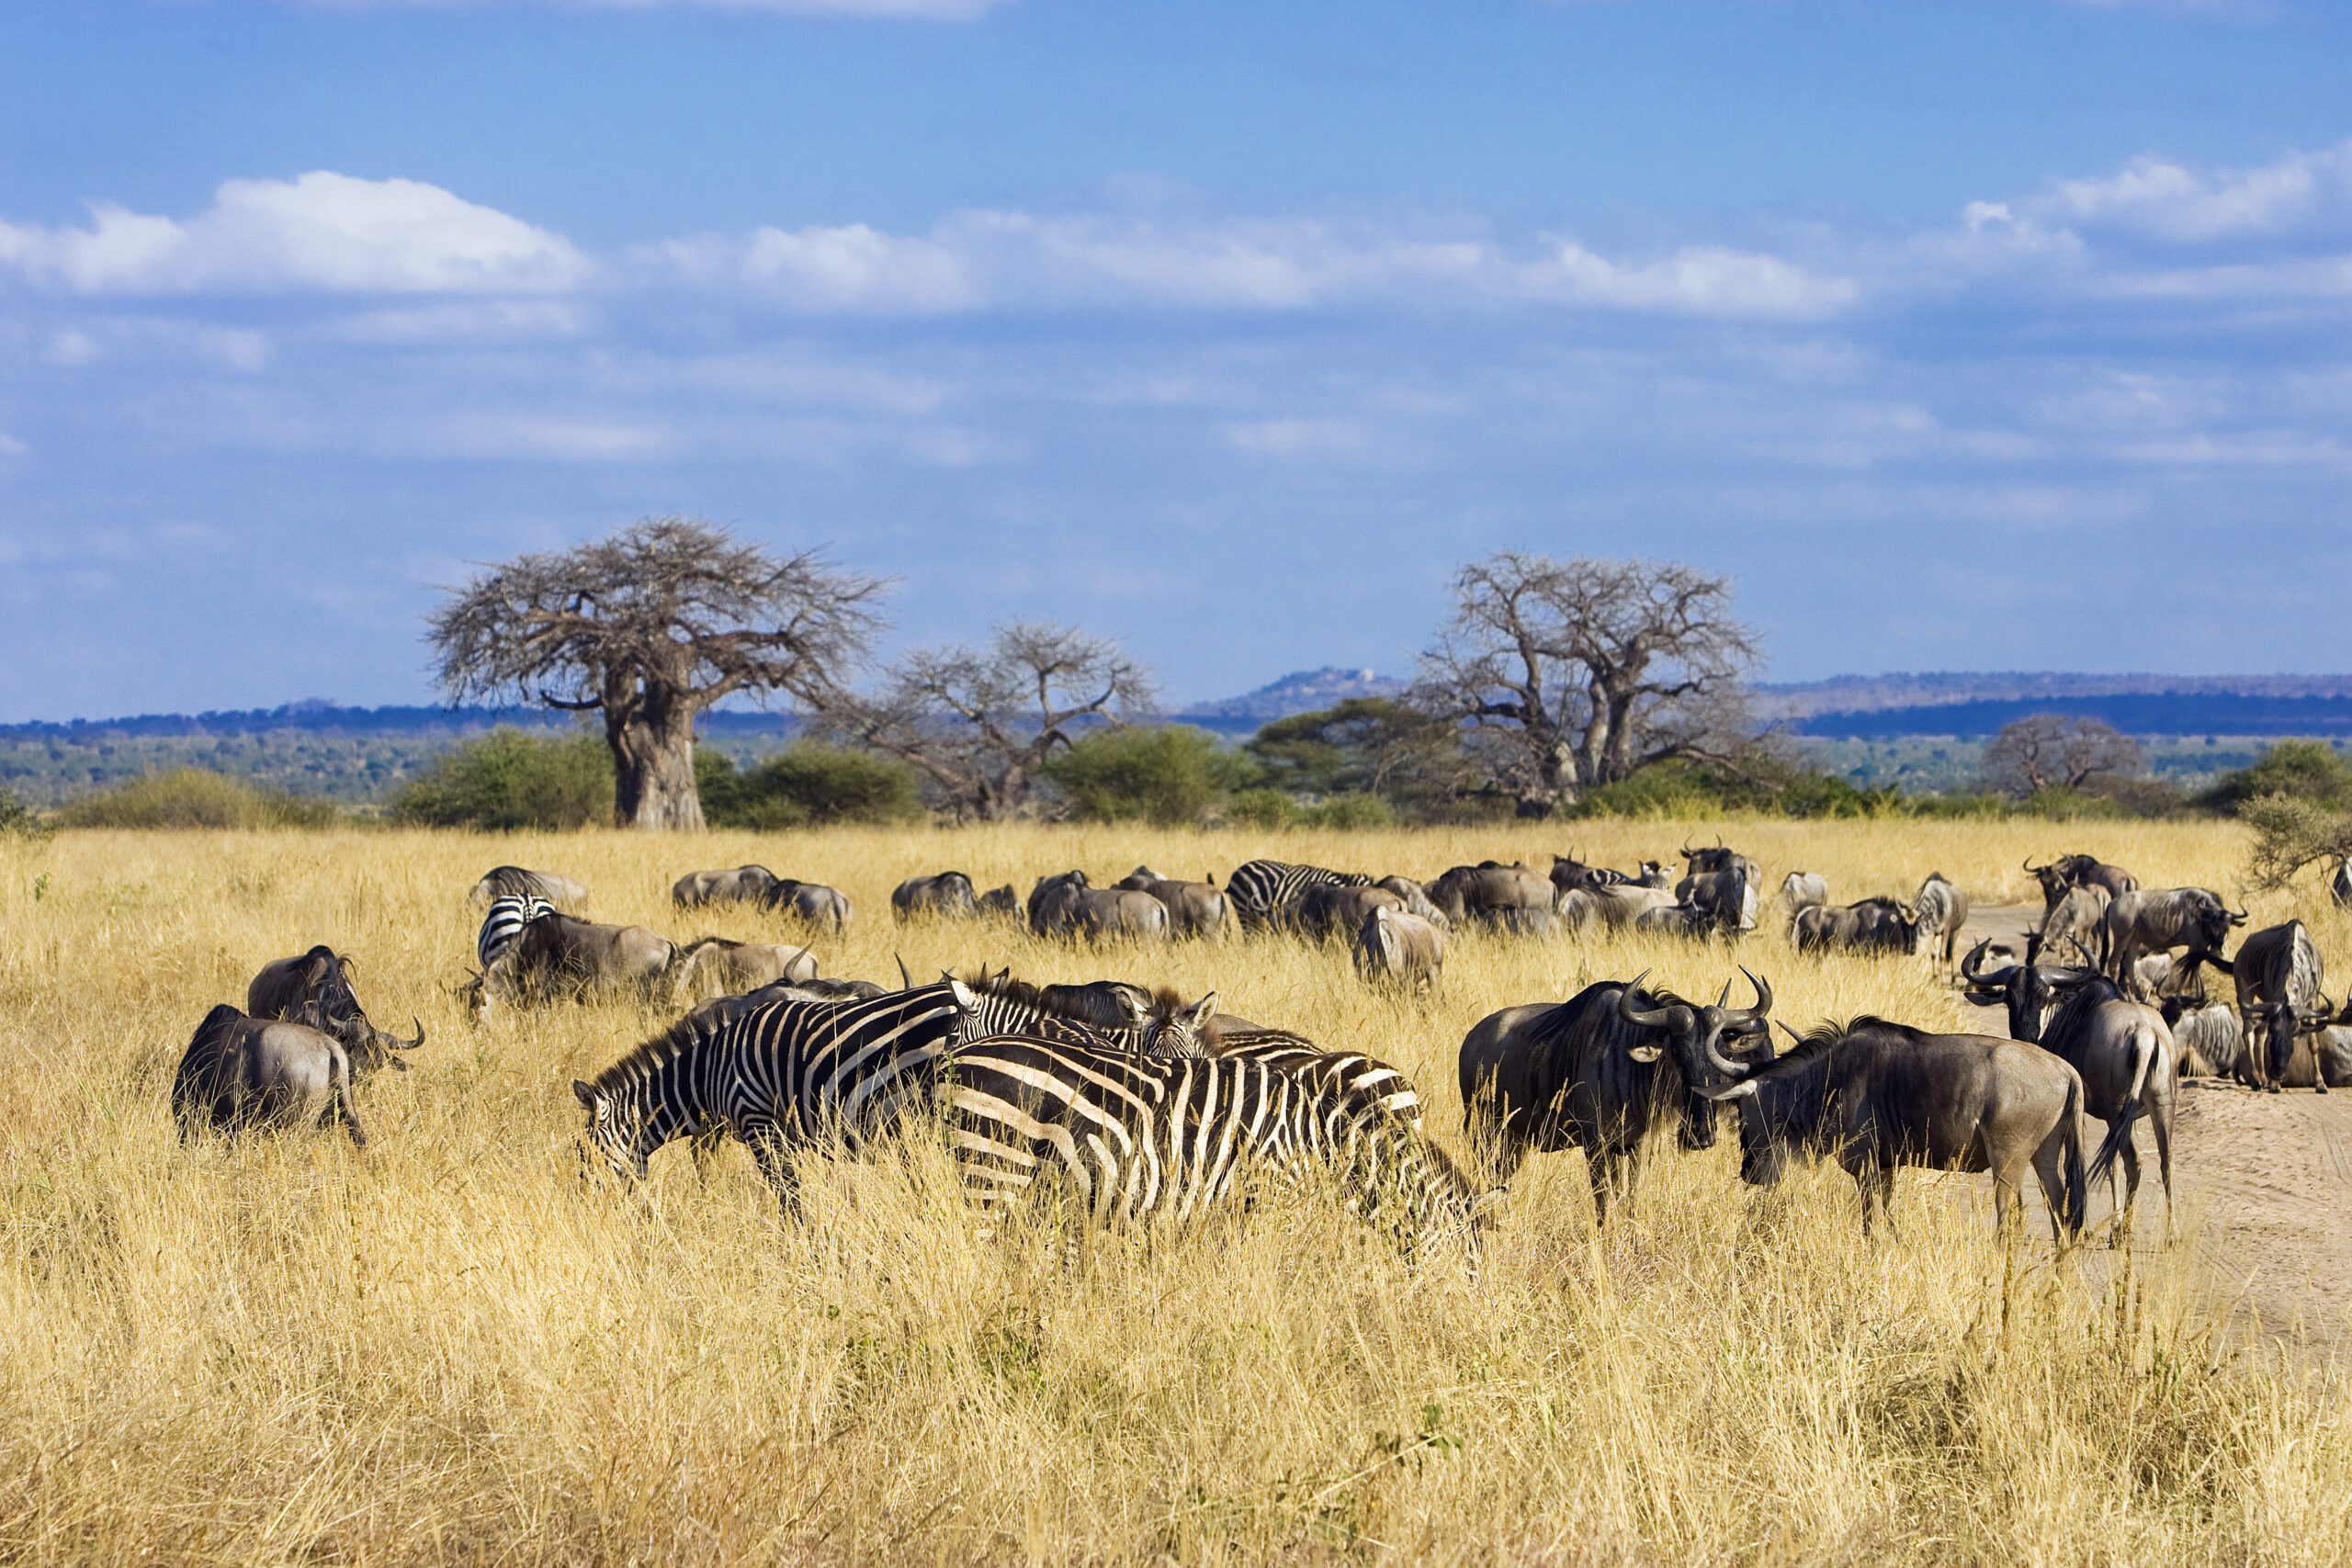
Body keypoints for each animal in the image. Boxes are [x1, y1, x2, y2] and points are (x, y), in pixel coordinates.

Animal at [572, 979, 979, 1211]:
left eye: (583, 1149)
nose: (584, 1208)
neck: (707, 1075)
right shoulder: (779, 1132)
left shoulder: (757, 1124)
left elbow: (786, 1193)